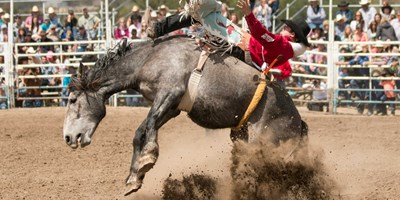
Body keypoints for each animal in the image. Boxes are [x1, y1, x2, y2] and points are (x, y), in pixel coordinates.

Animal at [62, 36, 308, 196]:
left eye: (72, 100)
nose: (68, 137)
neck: (148, 58)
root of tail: (299, 122)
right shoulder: (171, 107)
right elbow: (141, 131)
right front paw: (134, 178)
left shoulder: (169, 93)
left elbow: (148, 126)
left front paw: (148, 158)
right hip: (242, 137)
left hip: (265, 141)